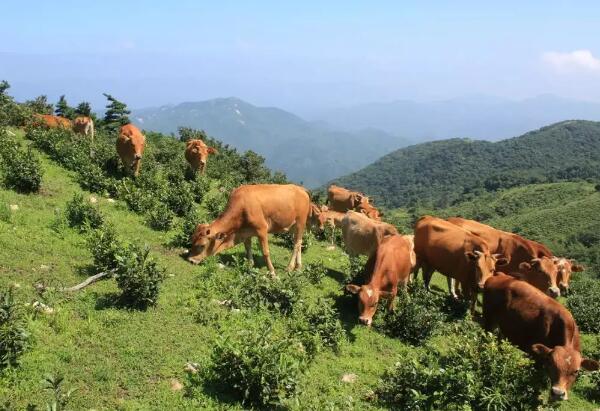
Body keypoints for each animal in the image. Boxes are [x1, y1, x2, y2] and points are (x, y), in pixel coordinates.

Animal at [482, 274, 600, 402]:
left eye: (576, 371)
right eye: (552, 364)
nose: (558, 393)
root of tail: (498, 276)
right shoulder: (536, 356)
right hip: (488, 319)